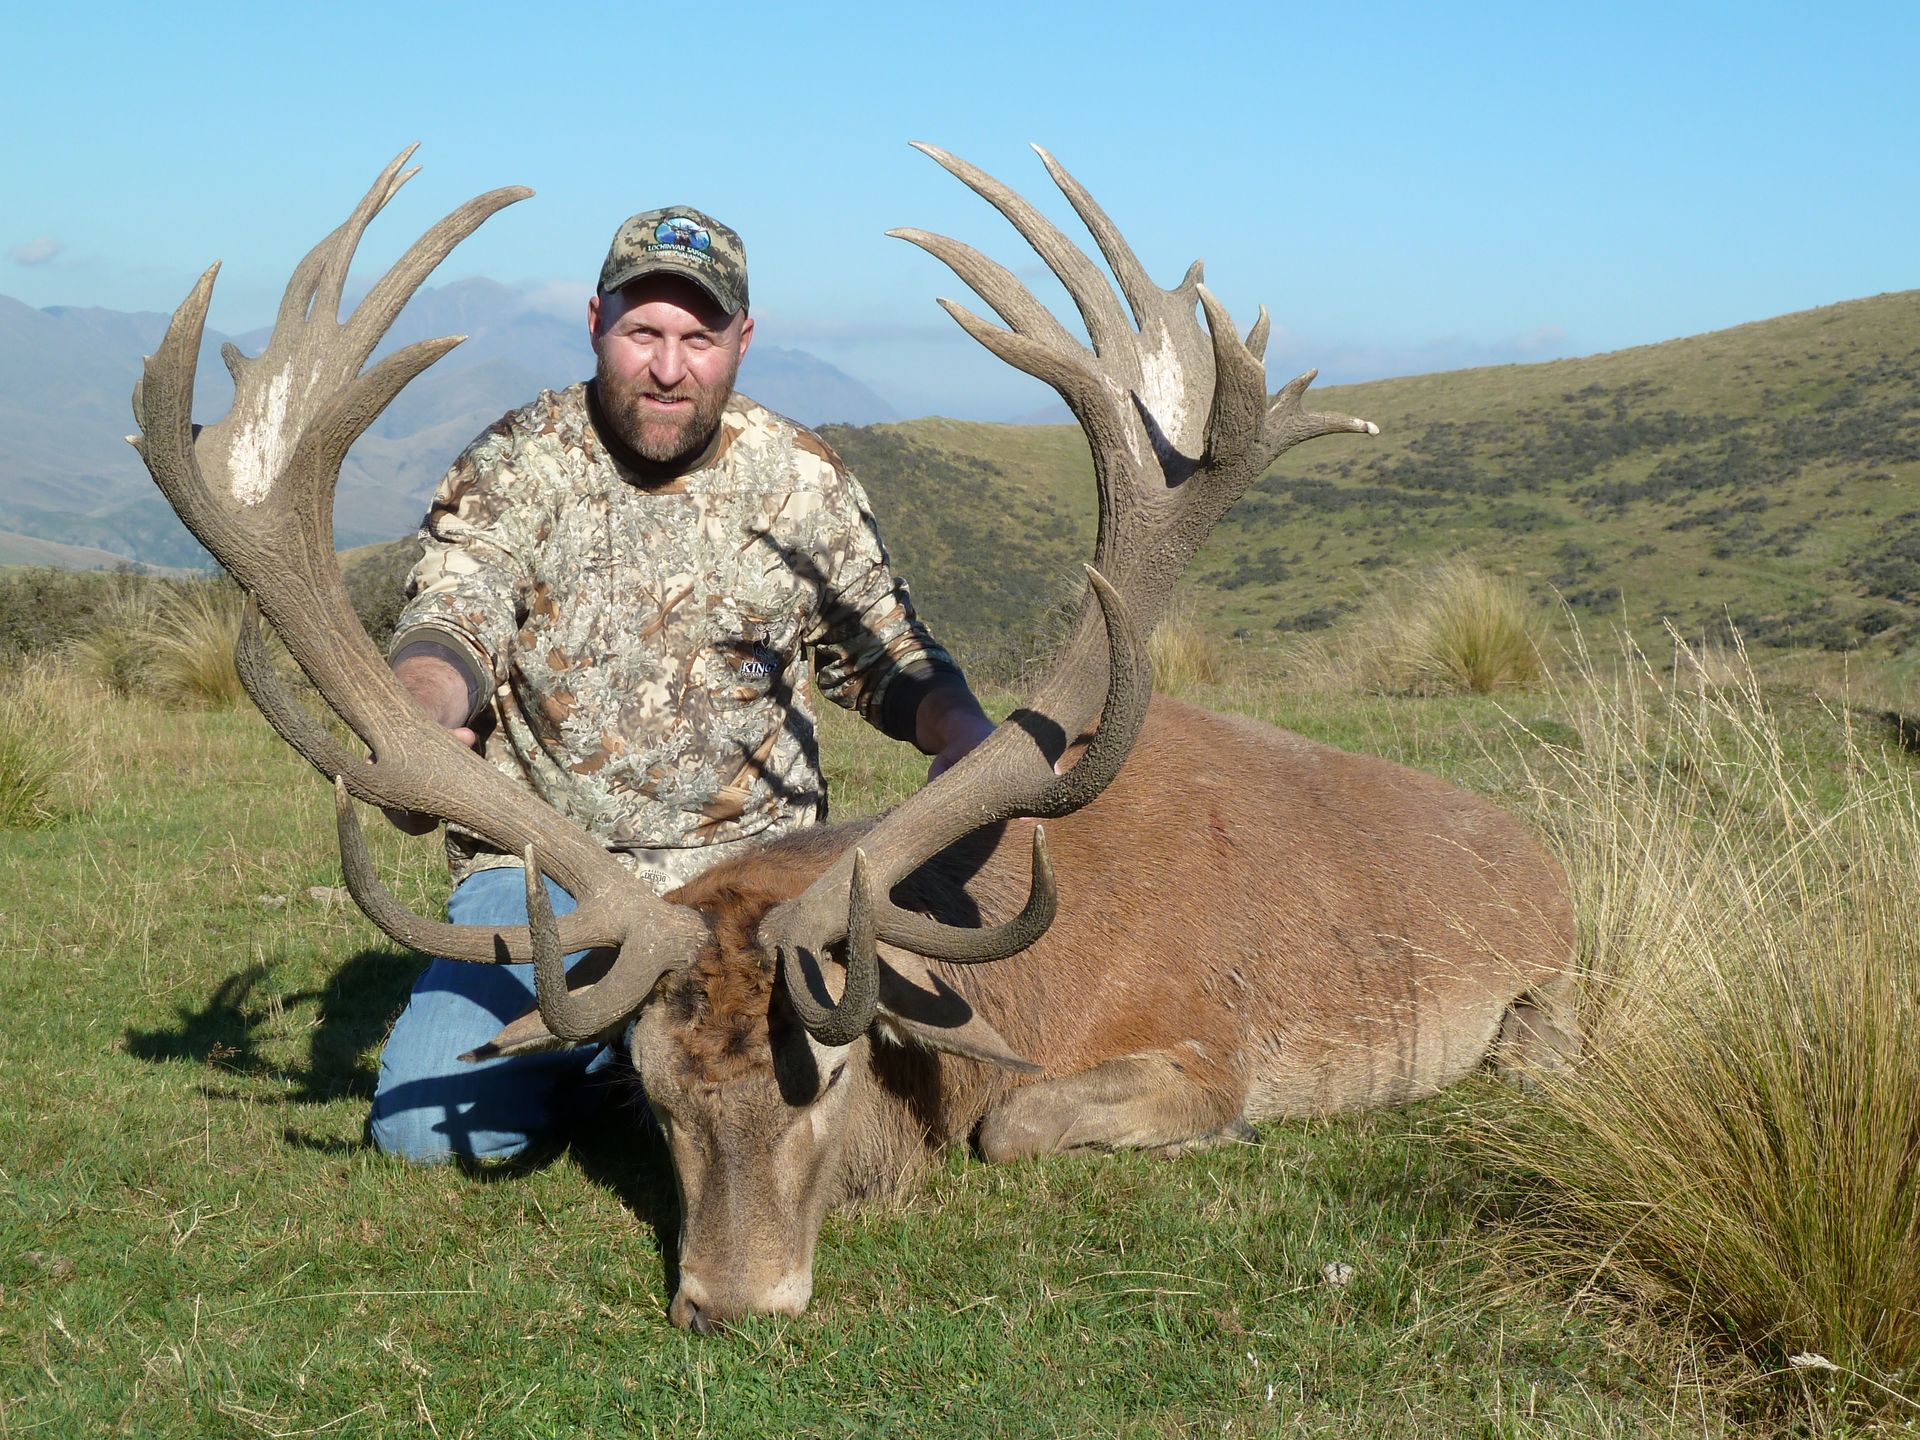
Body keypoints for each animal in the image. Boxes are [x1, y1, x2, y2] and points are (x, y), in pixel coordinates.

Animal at [132, 145, 1580, 1334]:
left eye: (824, 1078)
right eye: (654, 1093)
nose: (733, 1303)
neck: (1007, 983)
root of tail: (1541, 857)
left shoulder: (1203, 1044)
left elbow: (1029, 1125)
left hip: (1545, 994)